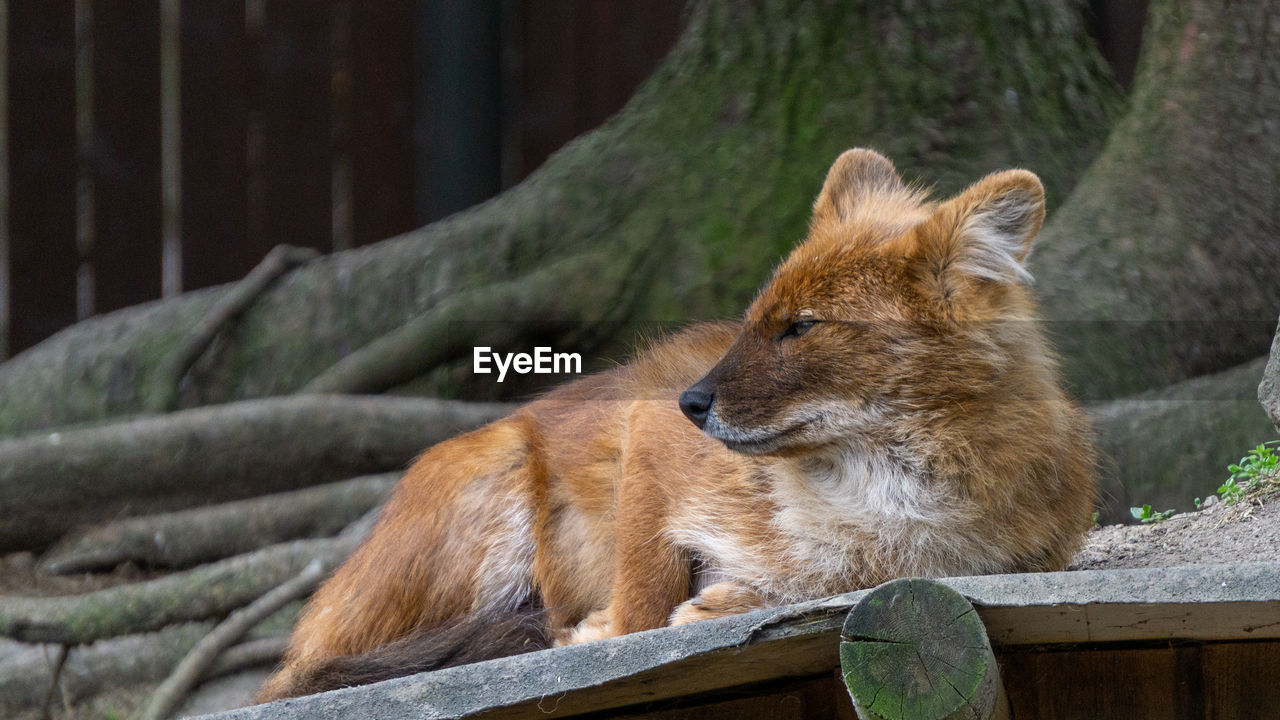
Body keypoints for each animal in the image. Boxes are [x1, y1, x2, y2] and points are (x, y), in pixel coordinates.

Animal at [257, 148, 1090, 696]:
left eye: (801, 327)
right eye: (753, 322)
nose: (692, 401)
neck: (883, 485)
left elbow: (854, 576)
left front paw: (742, 597)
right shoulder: (647, 435)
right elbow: (643, 590)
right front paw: (612, 630)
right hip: (495, 488)